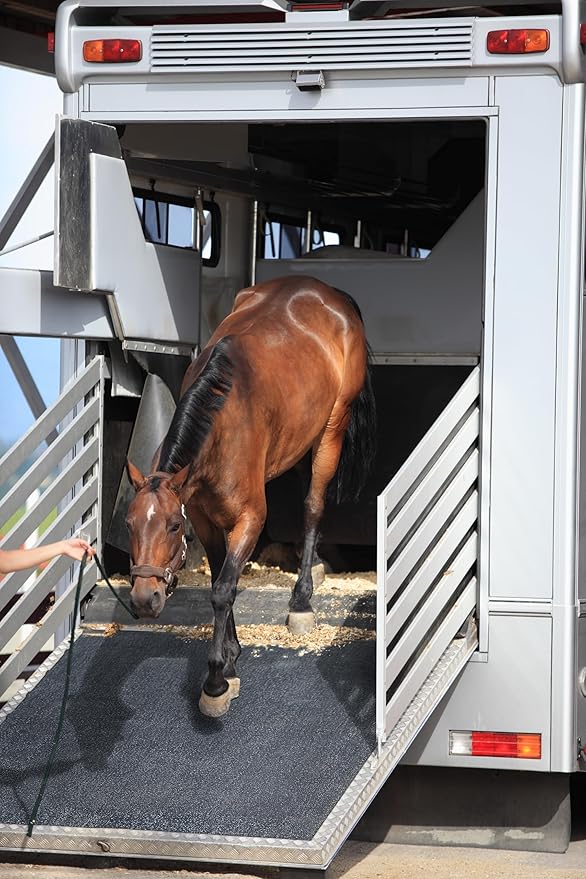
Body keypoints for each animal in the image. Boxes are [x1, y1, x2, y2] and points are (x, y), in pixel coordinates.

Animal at [125, 275, 376, 717]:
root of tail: (330, 293)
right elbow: (220, 581)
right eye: (128, 523)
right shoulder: (206, 522)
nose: (144, 598)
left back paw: (301, 599)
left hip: (331, 430)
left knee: (313, 505)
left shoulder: (249, 520)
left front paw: (216, 680)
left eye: (172, 526)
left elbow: (224, 589)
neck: (222, 417)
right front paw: (230, 657)